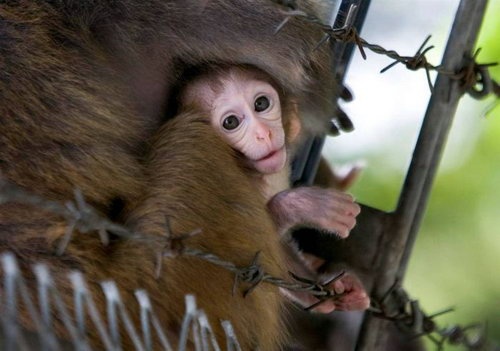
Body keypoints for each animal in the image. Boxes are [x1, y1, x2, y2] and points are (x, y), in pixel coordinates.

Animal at [0, 1, 348, 350]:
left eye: (262, 104)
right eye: (232, 122)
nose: (263, 134)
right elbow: (297, 57)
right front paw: (299, 207)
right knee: (192, 139)